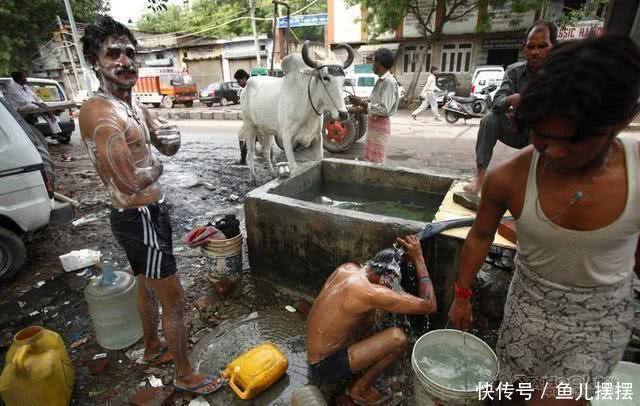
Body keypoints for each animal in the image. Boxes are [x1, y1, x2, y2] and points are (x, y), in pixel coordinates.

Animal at [239, 40, 352, 183]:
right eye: (325, 77)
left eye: (343, 80)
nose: (343, 114)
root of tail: (246, 85)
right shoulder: (287, 138)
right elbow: (293, 166)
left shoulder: (317, 138)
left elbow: (319, 159)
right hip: (249, 125)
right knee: (251, 151)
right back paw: (253, 177)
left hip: (268, 130)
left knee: (265, 151)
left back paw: (272, 174)